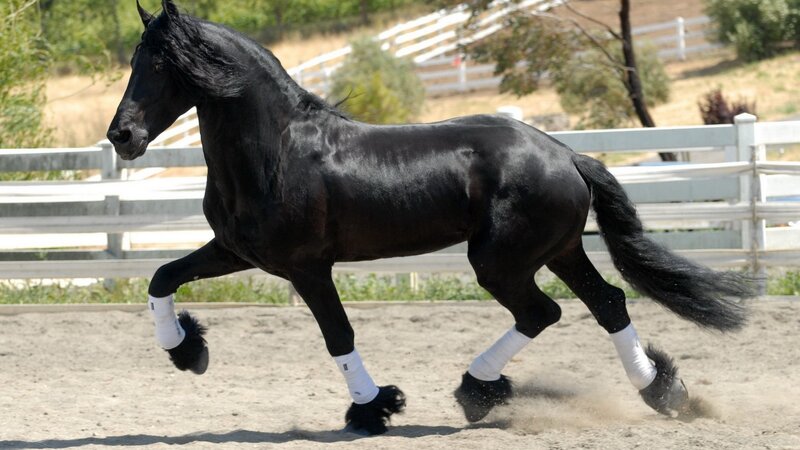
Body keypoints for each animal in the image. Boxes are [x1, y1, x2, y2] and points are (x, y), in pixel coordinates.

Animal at [107, 0, 753, 435]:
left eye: (163, 64)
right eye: (137, 59)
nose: (122, 136)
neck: (279, 150)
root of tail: (565, 154)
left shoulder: (308, 269)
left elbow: (339, 335)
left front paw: (373, 408)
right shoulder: (236, 252)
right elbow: (161, 277)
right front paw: (188, 351)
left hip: (500, 261)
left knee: (543, 312)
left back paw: (477, 392)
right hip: (560, 251)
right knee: (608, 304)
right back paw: (662, 393)